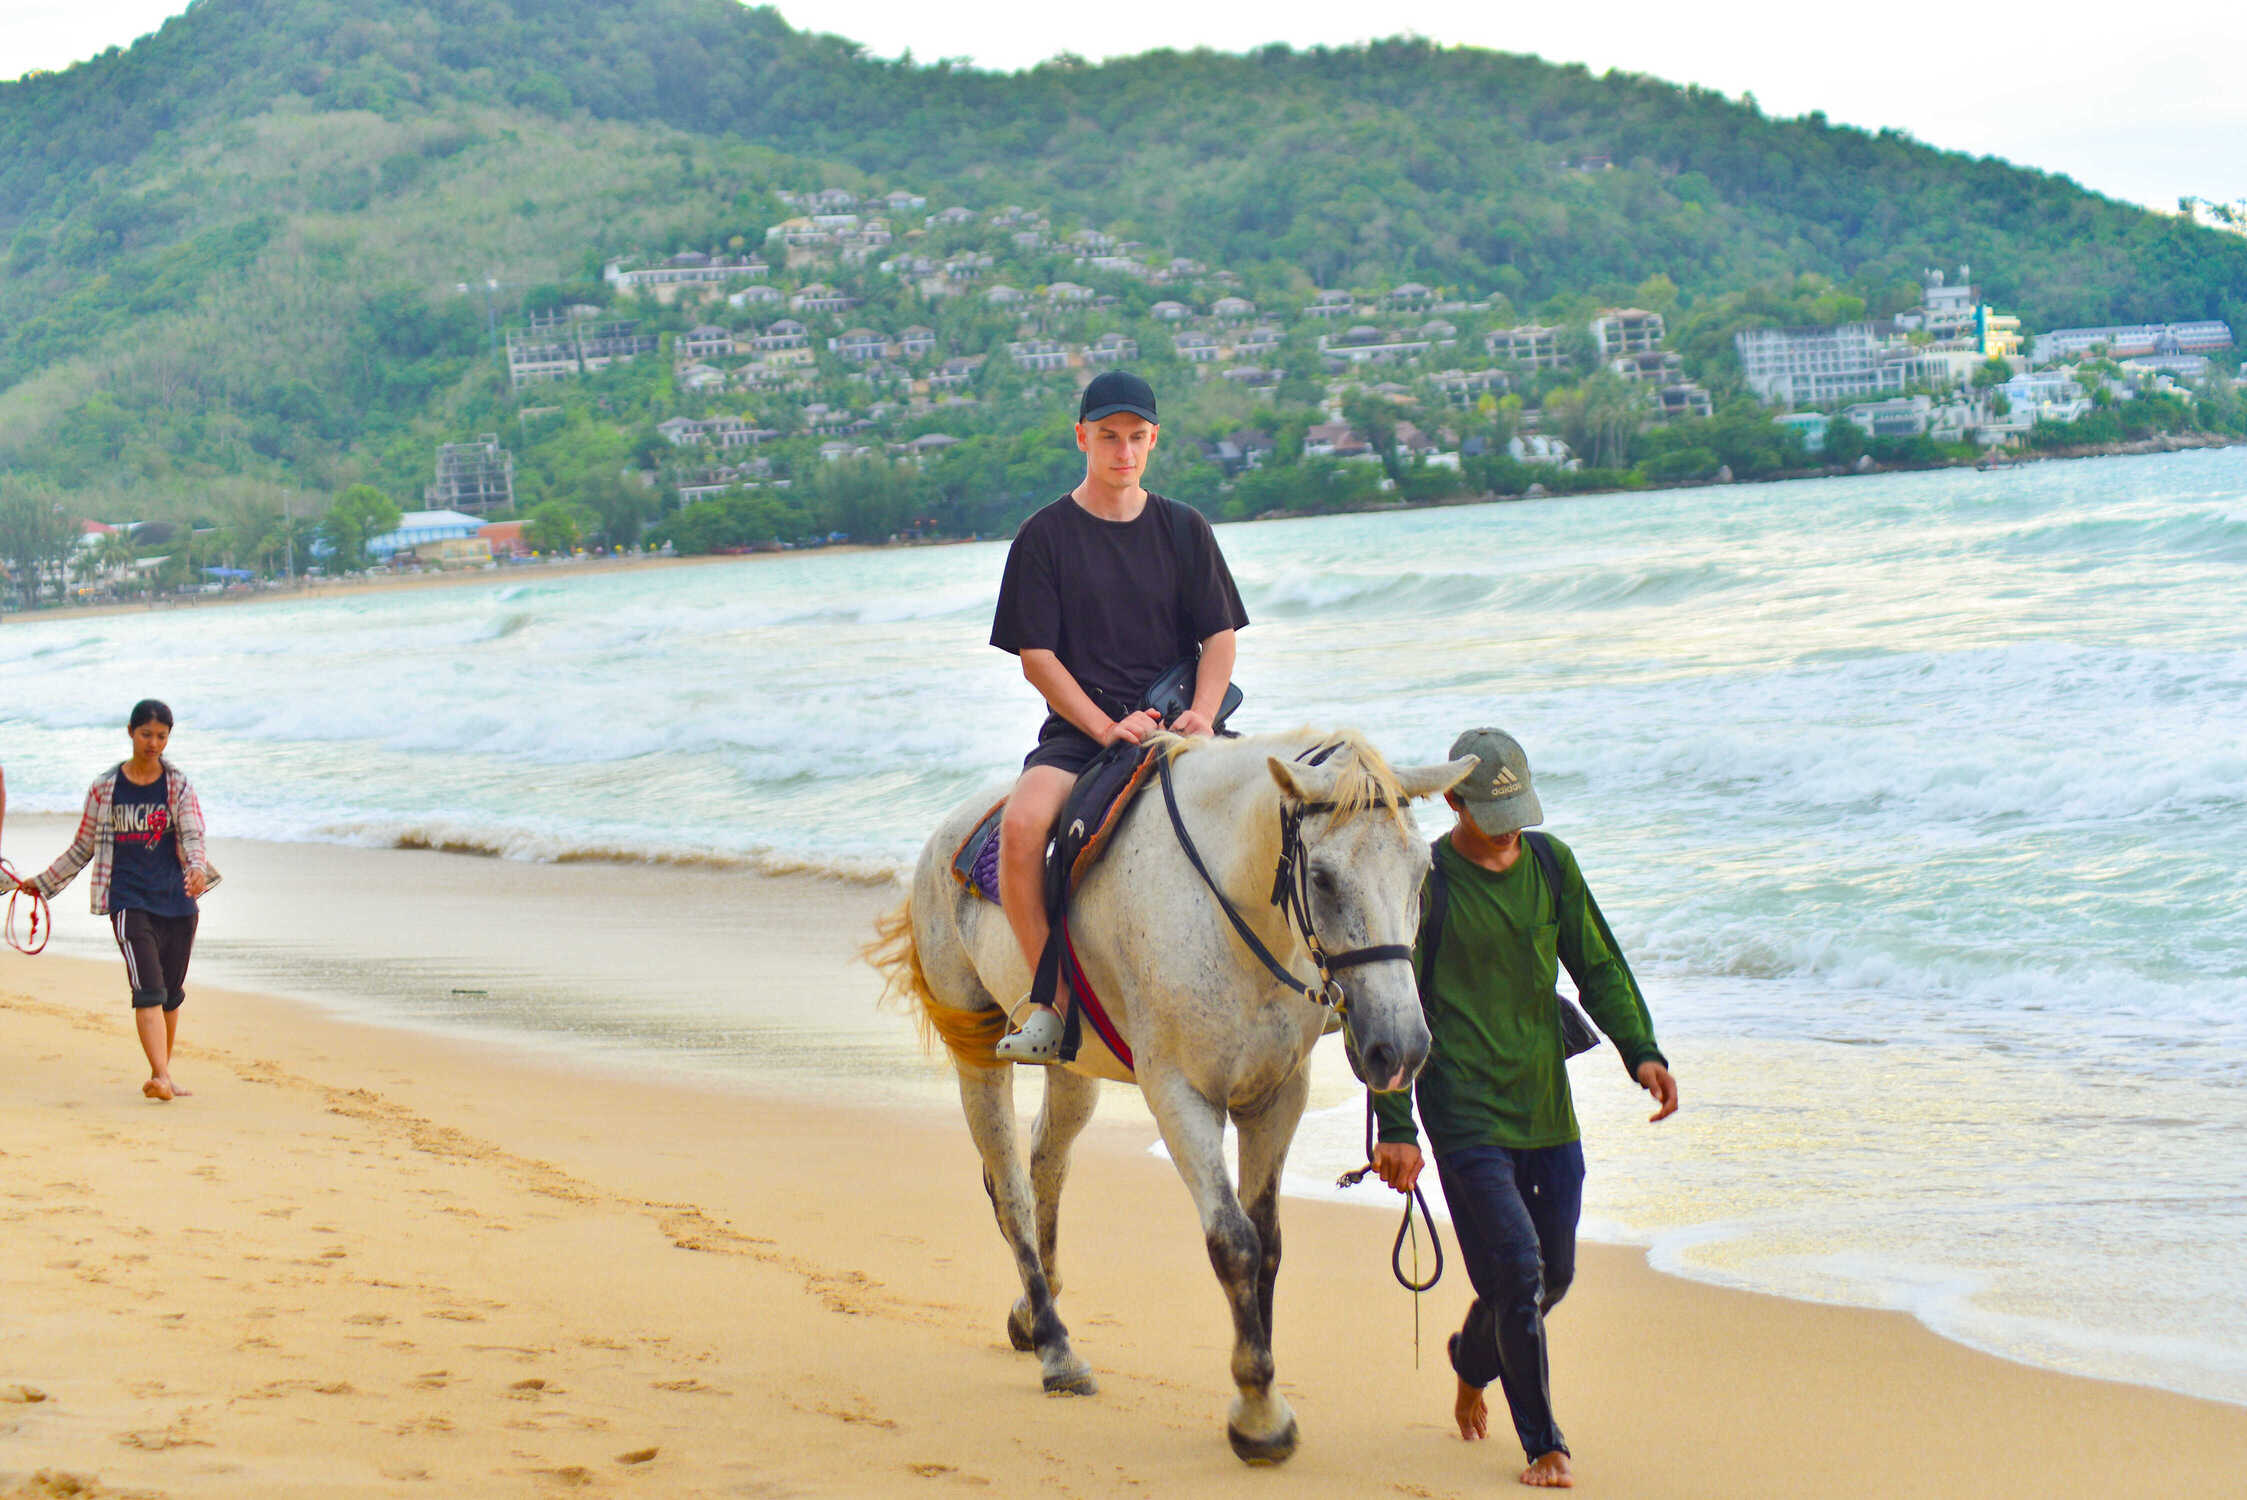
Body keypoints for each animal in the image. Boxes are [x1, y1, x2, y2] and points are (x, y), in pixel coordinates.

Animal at [871, 732, 1474, 1455]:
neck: (1230, 910)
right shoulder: (1181, 1098)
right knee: (1010, 1189)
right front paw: (1258, 1414)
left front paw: (1263, 1389)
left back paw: (1031, 1312)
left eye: (1422, 873)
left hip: (1075, 1066)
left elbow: (1267, 1243)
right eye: (1324, 878)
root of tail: (947, 832)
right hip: (976, 1047)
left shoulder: (1276, 1098)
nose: (1400, 1047)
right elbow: (1233, 1243)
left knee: (1046, 1163)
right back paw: (1055, 1347)